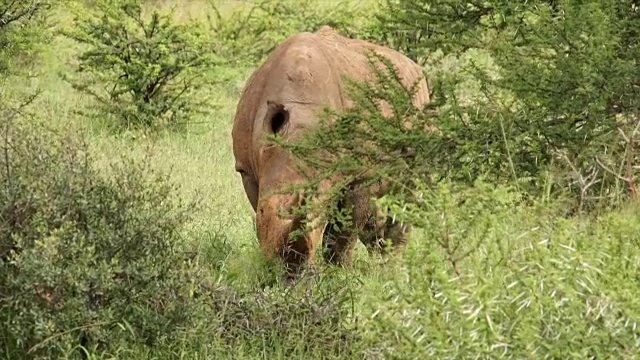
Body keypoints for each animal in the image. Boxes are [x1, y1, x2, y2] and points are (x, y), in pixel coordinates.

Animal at [230, 26, 430, 282]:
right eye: (264, 210)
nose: (290, 273)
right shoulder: (247, 168)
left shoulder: (359, 175)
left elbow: (344, 232)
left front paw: (339, 274)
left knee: (409, 190)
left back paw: (392, 271)